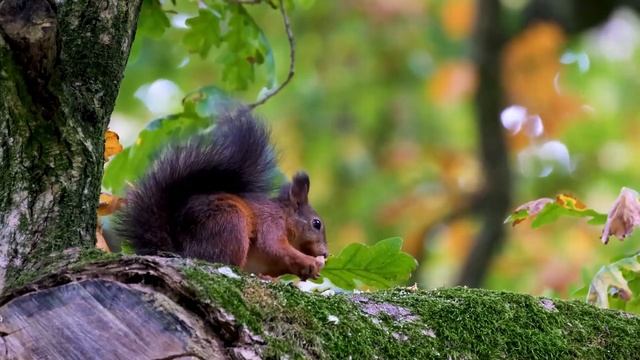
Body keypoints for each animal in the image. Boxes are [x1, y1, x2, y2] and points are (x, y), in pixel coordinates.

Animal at [112, 108, 328, 280]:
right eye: (316, 224)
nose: (325, 254)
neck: (285, 217)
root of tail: (181, 250)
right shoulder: (271, 222)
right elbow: (274, 247)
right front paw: (309, 262)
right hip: (230, 223)